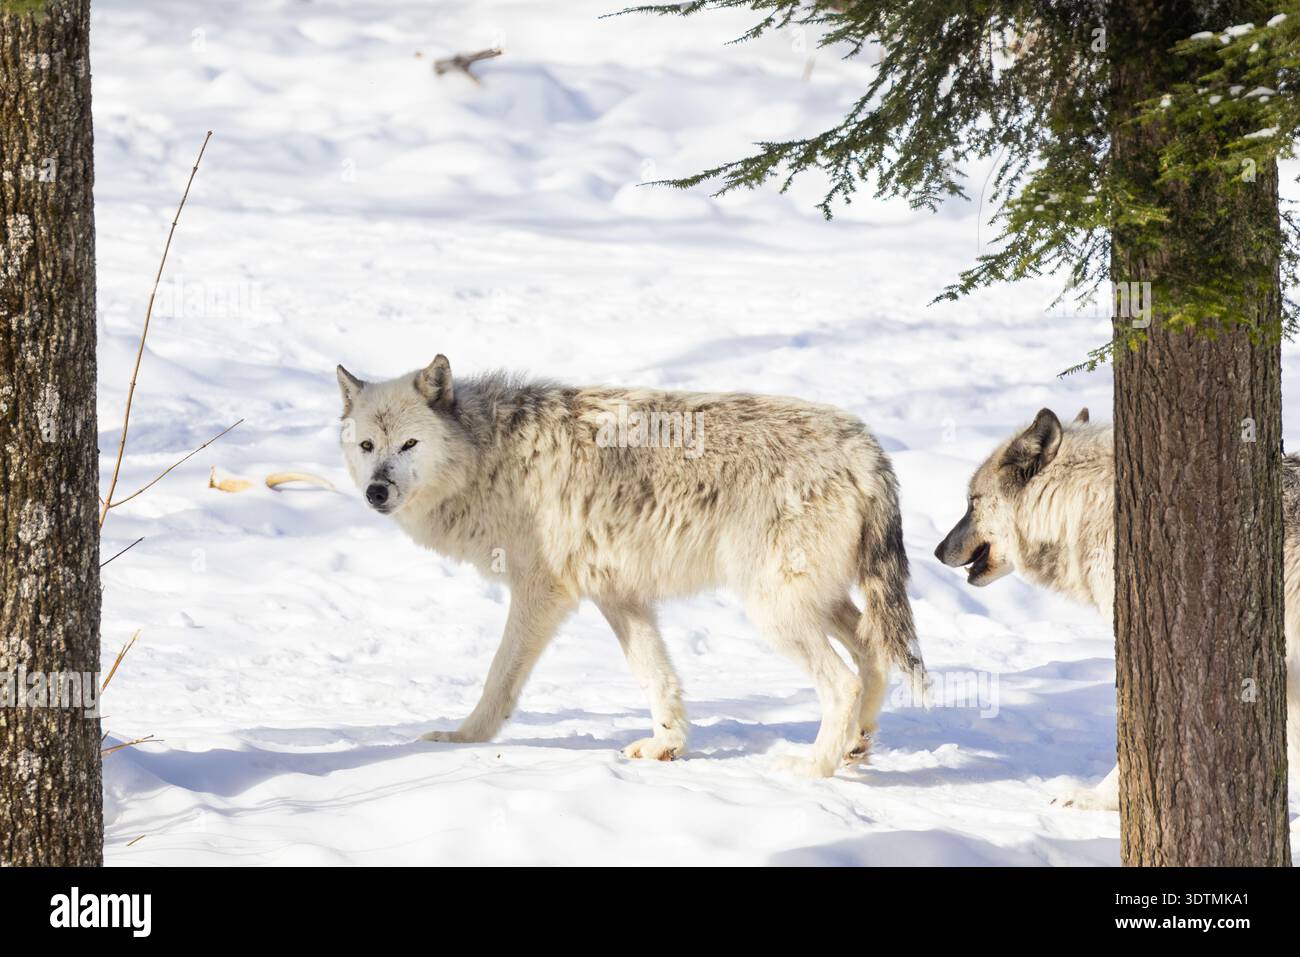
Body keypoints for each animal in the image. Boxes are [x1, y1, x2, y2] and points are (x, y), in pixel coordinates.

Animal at [336, 356, 925, 777]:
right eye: (367, 445)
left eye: (409, 444)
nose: (376, 491)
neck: (490, 458)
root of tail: (866, 448)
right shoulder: (619, 595)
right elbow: (655, 677)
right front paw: (668, 745)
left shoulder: (541, 592)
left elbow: (498, 678)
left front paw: (462, 740)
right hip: (814, 602)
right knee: (872, 652)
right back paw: (856, 746)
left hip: (776, 610)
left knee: (843, 683)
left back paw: (811, 769)